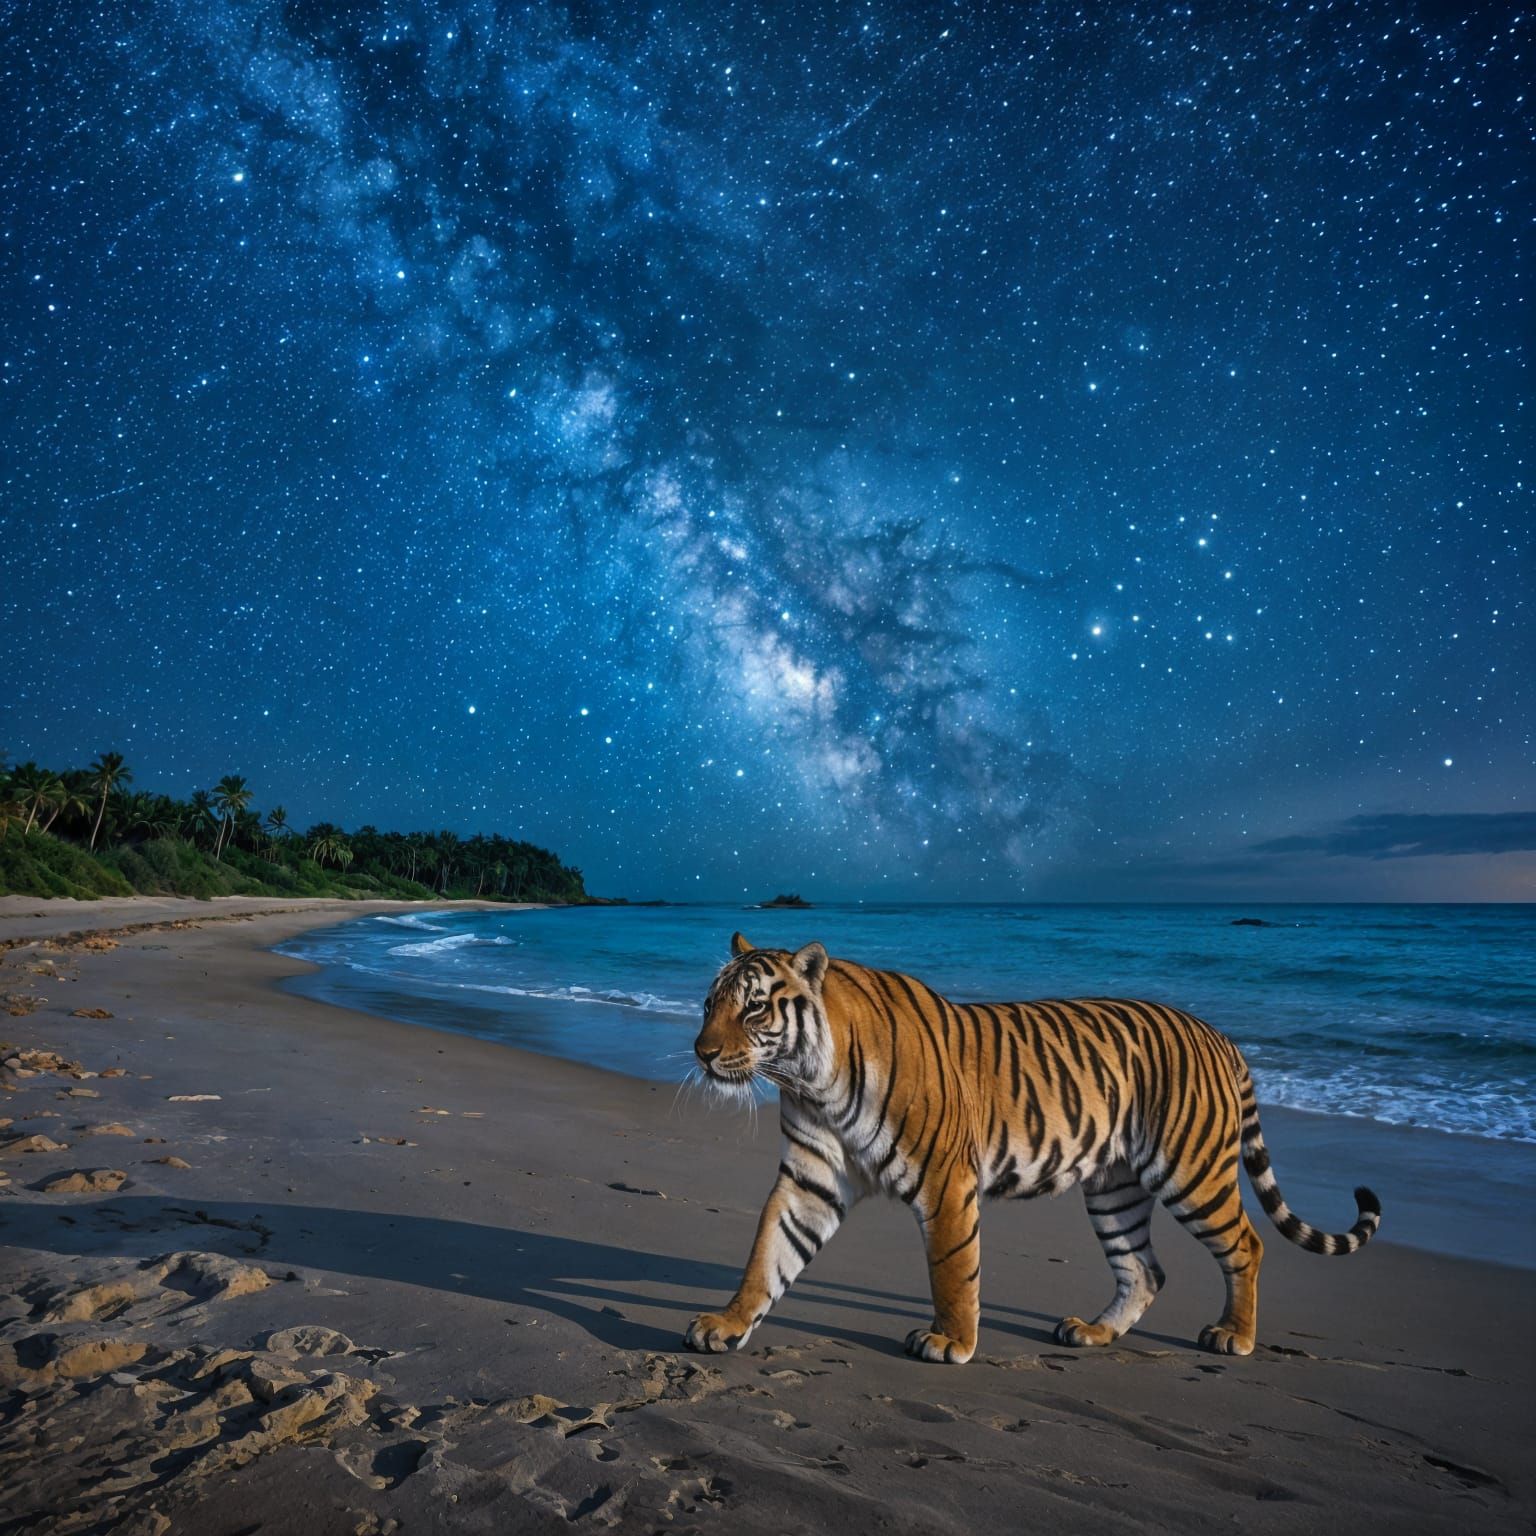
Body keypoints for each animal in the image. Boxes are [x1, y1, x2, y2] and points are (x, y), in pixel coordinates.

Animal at [684, 934, 1381, 1363]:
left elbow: (952, 1270)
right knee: (1144, 1268)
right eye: (709, 1003)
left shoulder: (945, 1182)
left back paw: (1233, 1335)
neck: (812, 1078)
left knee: (1246, 1245)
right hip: (1115, 1189)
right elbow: (767, 1254)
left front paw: (950, 1343)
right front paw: (726, 1324)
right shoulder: (810, 1178)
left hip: (1193, 1172)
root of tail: (1221, 1035)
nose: (703, 1053)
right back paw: (1092, 1333)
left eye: (754, 1009)